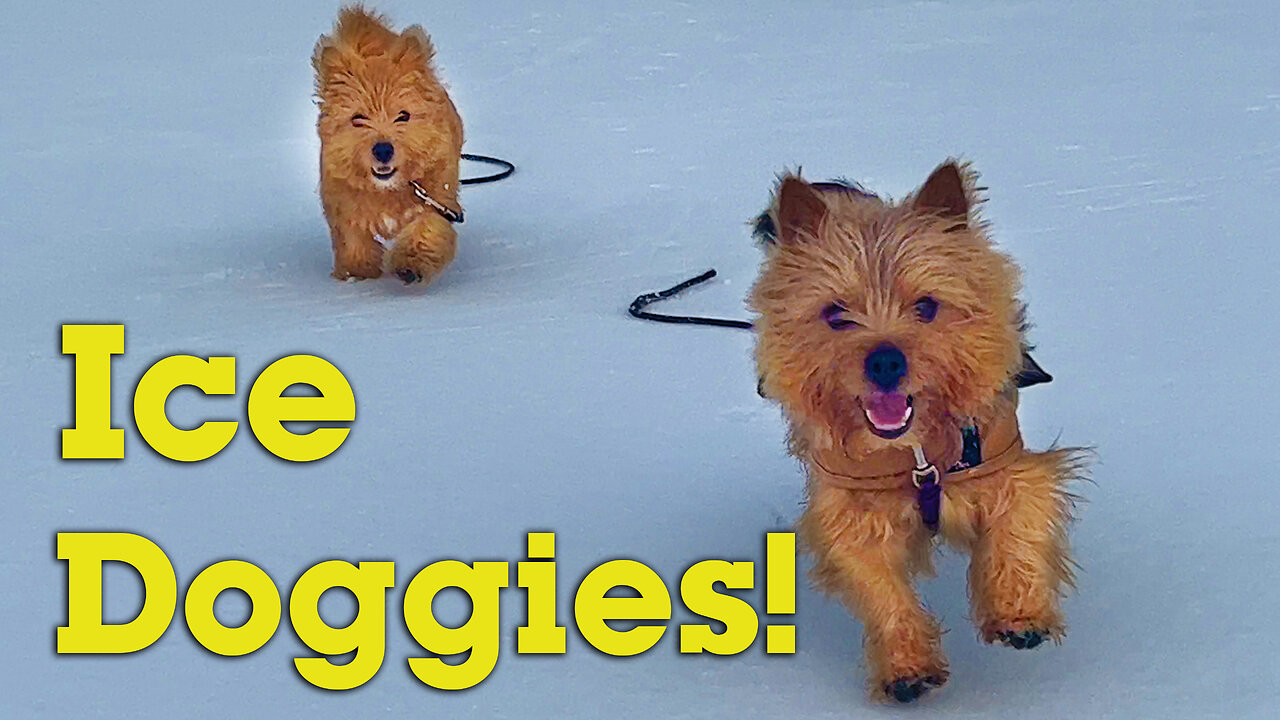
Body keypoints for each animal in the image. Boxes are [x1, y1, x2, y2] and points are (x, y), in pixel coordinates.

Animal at [312, 8, 463, 284]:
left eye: (403, 116)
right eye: (357, 118)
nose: (383, 150)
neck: (387, 190)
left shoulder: (438, 200)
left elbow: (426, 228)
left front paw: (410, 262)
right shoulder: (343, 207)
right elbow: (353, 241)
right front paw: (356, 273)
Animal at [747, 161, 1090, 702]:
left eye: (927, 307)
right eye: (835, 314)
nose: (885, 360)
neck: (916, 455)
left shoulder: (1012, 470)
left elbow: (1018, 529)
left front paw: (1018, 612)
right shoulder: (850, 516)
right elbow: (883, 590)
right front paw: (907, 665)